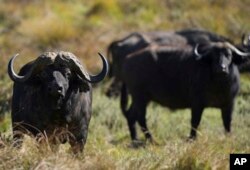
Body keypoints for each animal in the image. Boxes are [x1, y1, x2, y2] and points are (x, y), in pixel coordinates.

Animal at [119, 40, 250, 141]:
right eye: (214, 56)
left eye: (229, 55)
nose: (221, 68)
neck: (218, 85)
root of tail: (127, 60)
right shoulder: (197, 103)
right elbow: (195, 121)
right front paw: (192, 138)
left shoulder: (229, 103)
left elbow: (227, 122)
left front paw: (229, 137)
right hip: (140, 97)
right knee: (140, 117)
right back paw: (150, 139)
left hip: (141, 98)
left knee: (131, 115)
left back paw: (135, 138)